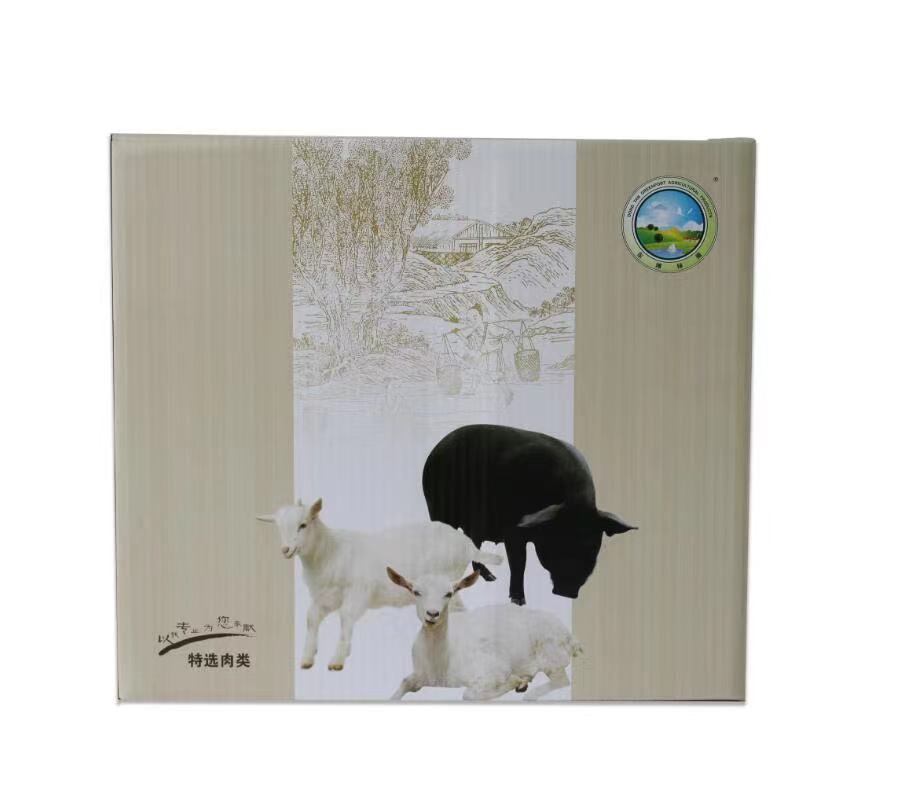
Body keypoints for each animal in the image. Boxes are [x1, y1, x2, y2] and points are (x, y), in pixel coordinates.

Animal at [256, 498, 503, 671]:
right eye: (279, 527)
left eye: (303, 525)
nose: (286, 550)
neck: (331, 552)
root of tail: (467, 545)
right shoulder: (325, 596)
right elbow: (311, 618)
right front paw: (307, 658)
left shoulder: (357, 593)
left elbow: (345, 618)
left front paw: (337, 660)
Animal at [387, 567, 582, 701]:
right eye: (416, 592)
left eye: (449, 593)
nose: (432, 614)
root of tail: (572, 638)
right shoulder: (419, 674)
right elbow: (404, 682)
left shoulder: (493, 669)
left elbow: (468, 694)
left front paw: (515, 681)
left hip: (550, 652)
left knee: (562, 680)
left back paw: (529, 692)